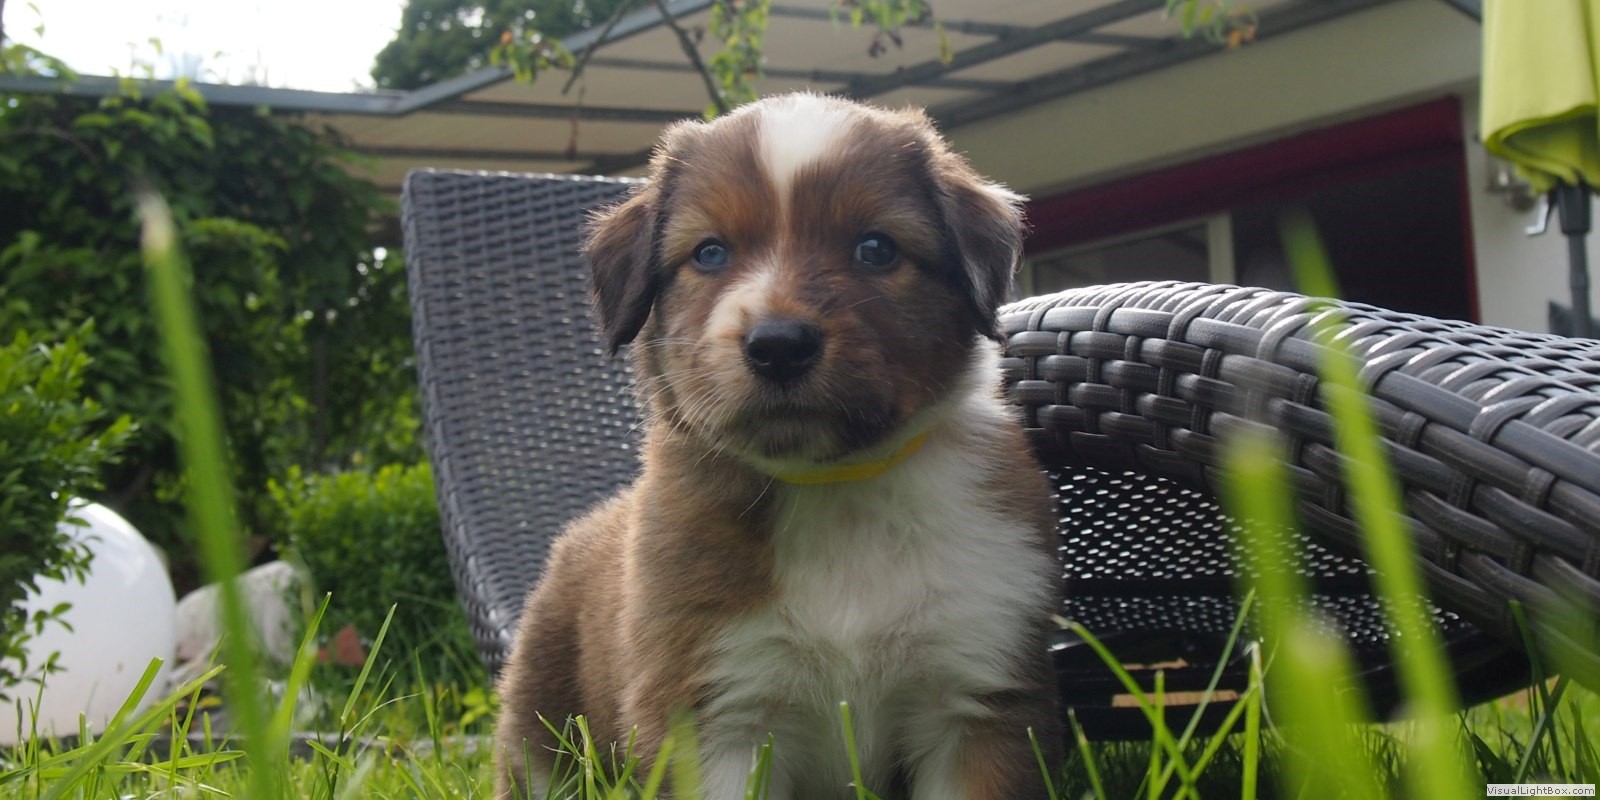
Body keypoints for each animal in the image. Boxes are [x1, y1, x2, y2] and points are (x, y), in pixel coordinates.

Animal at [494, 92, 1062, 799]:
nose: (778, 345)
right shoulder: (712, 713)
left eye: (876, 248)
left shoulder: (971, 696)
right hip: (544, 729)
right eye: (710, 253)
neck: (837, 489)